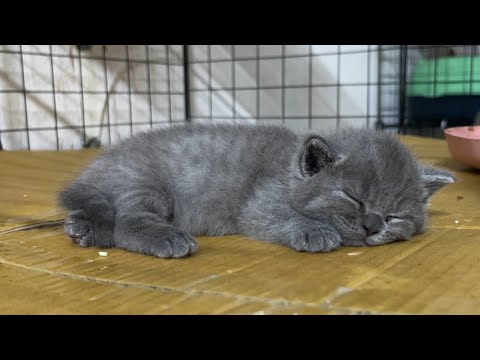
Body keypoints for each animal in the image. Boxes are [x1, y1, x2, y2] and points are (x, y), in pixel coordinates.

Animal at [58, 122, 456, 258]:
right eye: (352, 197)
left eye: (395, 216)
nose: (372, 226)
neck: (287, 170)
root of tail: (97, 166)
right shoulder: (257, 205)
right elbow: (280, 216)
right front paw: (314, 231)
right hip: (146, 184)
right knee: (125, 223)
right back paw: (167, 238)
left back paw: (82, 229)